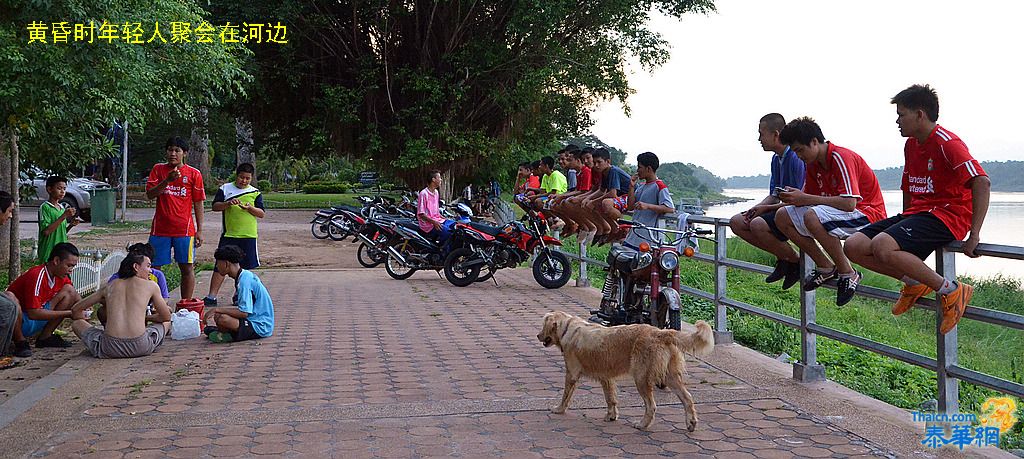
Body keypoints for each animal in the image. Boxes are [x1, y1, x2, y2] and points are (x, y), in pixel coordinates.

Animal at [536, 311, 712, 430]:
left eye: (543, 325)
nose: (538, 335)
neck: (568, 328)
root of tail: (660, 332)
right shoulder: (606, 378)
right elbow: (610, 399)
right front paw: (611, 416)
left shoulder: (571, 374)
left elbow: (565, 396)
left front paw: (558, 409)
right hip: (670, 377)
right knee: (687, 398)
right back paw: (691, 423)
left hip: (641, 378)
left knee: (651, 406)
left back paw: (642, 425)